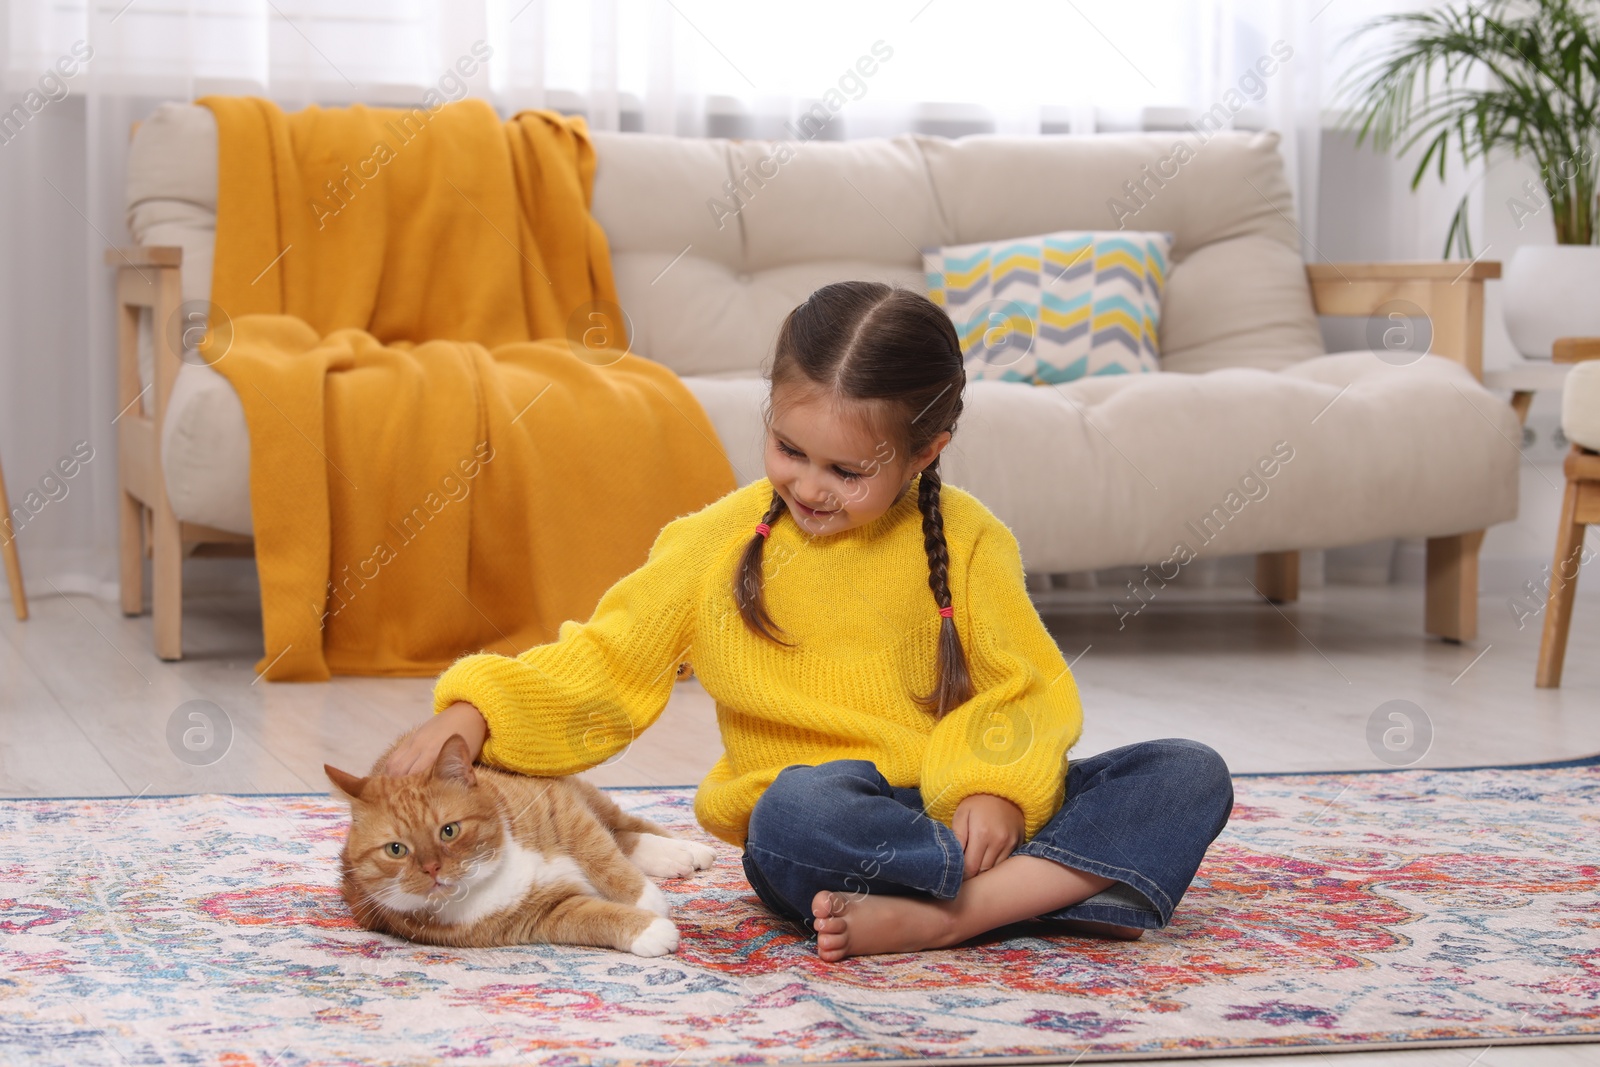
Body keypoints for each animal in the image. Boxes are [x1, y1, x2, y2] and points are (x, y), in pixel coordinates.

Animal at [324, 735, 713, 953]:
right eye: (396, 849)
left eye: (449, 831)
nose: (432, 868)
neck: (493, 870)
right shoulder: (546, 914)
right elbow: (595, 917)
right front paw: (650, 929)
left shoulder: (561, 808)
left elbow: (602, 856)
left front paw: (647, 900)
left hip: (579, 792)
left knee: (621, 827)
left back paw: (690, 851)